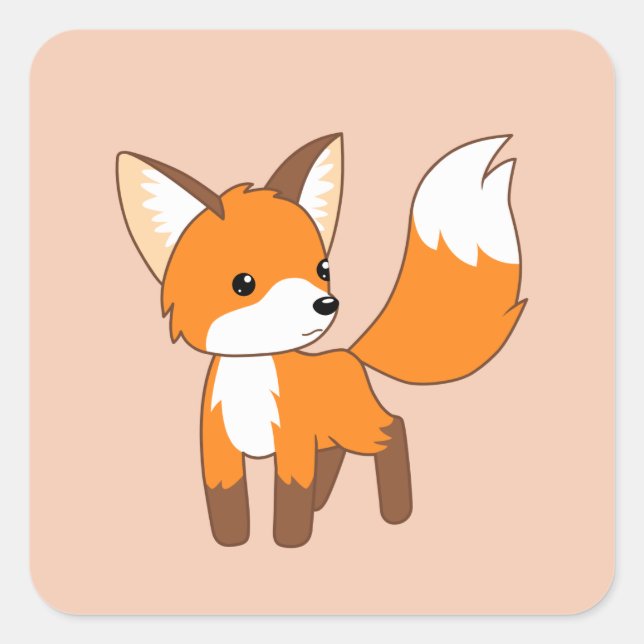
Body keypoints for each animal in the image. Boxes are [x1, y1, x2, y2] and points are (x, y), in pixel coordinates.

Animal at [116, 133, 526, 548]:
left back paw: (395, 513)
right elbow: (225, 500)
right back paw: (325, 503)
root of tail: (348, 353)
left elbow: (291, 493)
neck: (251, 378)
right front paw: (231, 541)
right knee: (334, 453)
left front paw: (290, 540)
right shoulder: (220, 452)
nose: (326, 304)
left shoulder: (293, 446)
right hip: (333, 432)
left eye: (322, 269)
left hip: (361, 427)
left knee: (394, 429)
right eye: (243, 284)